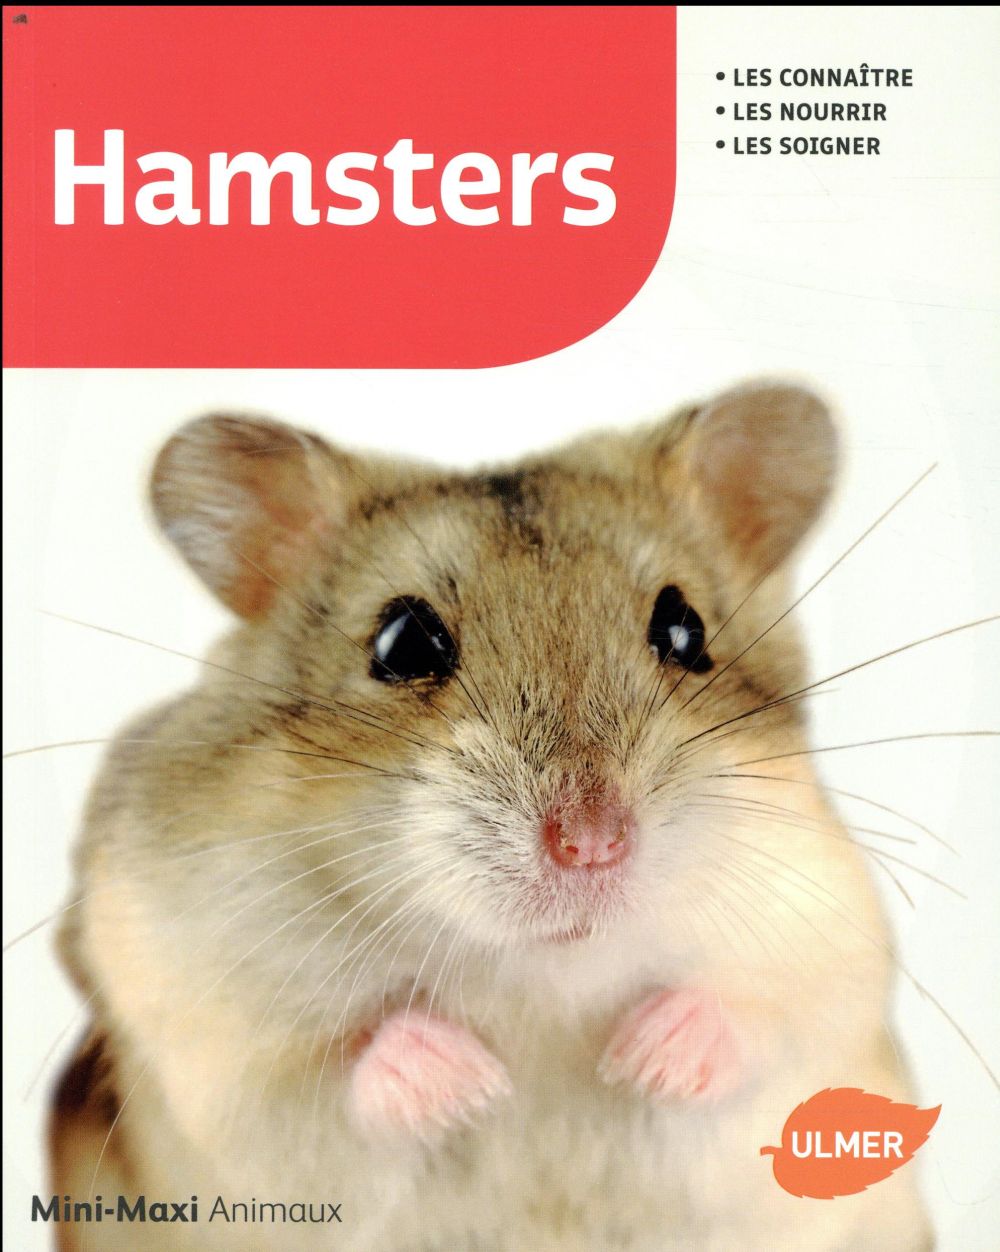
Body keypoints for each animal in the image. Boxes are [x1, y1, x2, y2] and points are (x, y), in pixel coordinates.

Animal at [50, 382, 933, 1251]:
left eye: (685, 630)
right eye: (402, 643)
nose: (592, 844)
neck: (542, 977)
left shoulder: (830, 963)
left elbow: (760, 1023)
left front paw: (639, 1059)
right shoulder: (203, 1033)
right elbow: (334, 1070)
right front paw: (476, 1084)